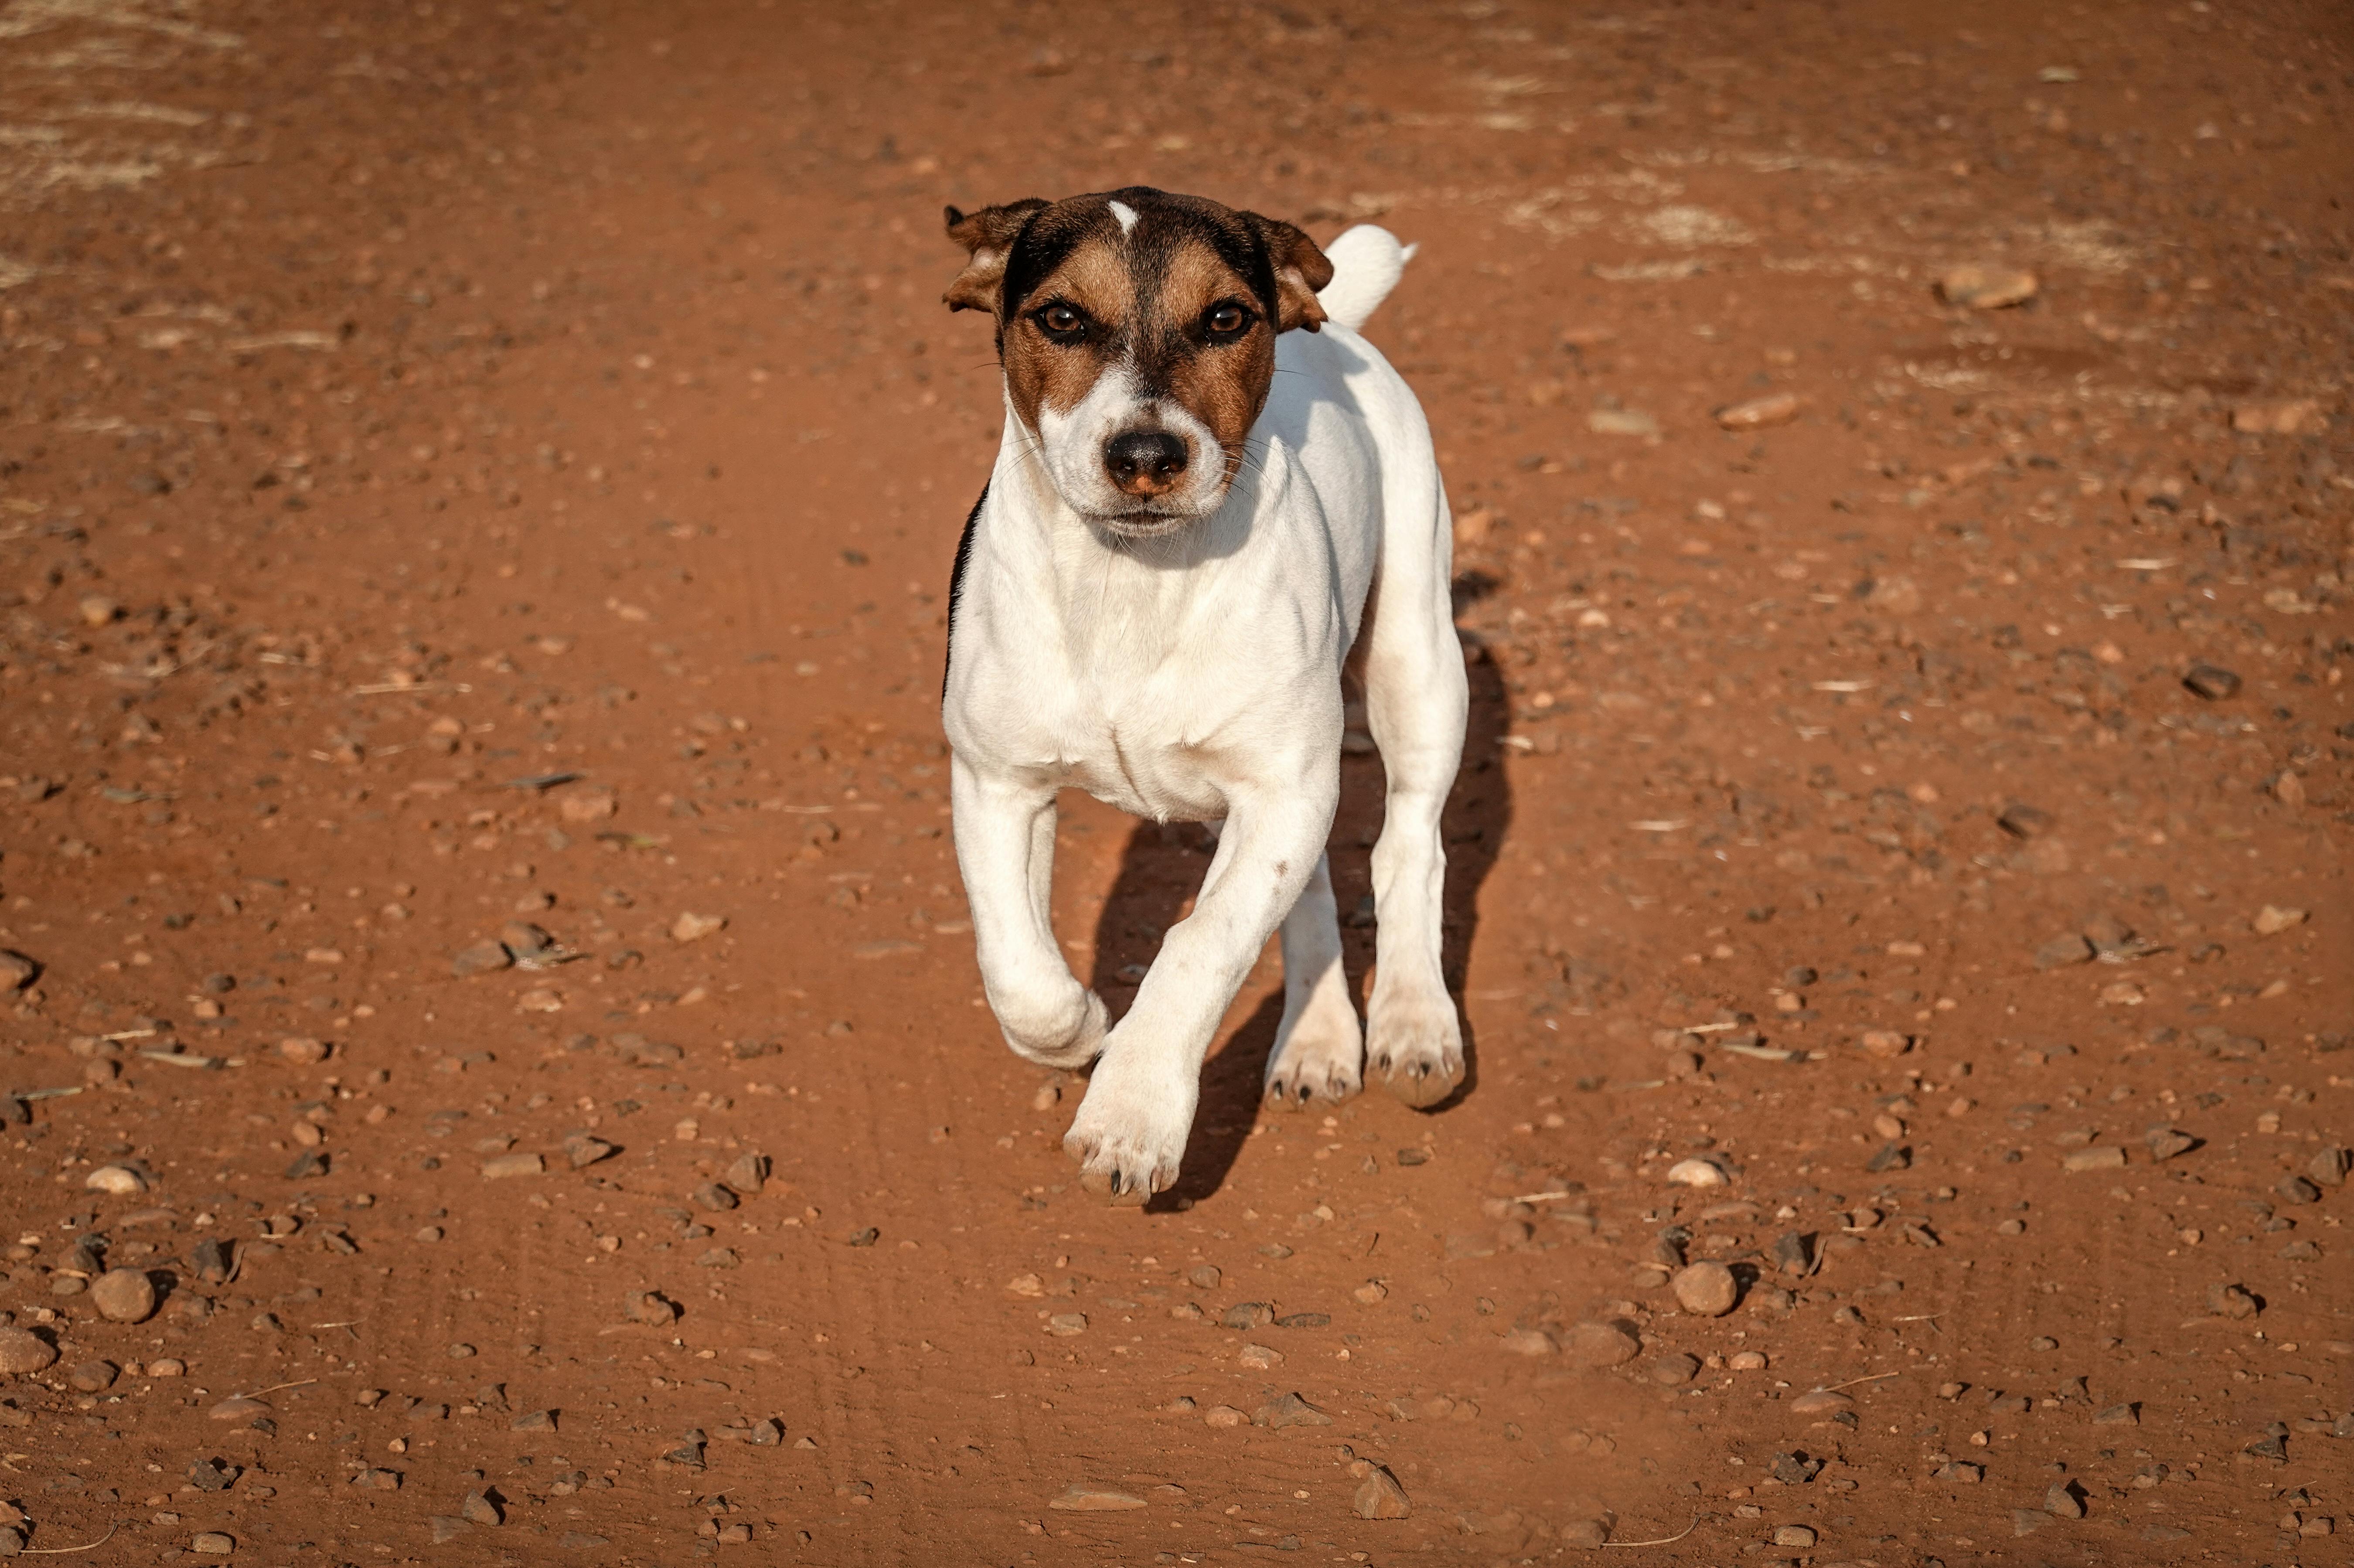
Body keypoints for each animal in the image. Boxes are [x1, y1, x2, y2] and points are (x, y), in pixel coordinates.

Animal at [932, 189, 1450, 1200]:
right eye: (1060, 317)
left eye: (1224, 319)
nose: (1145, 453)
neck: (1130, 583)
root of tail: (1336, 328)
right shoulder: (996, 781)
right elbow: (1017, 971)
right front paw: (1082, 1030)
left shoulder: (1282, 790)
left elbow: (1198, 944)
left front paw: (1131, 1117)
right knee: (1313, 886)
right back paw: (1316, 1037)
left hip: (1416, 664)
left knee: (1407, 845)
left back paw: (1413, 1023)